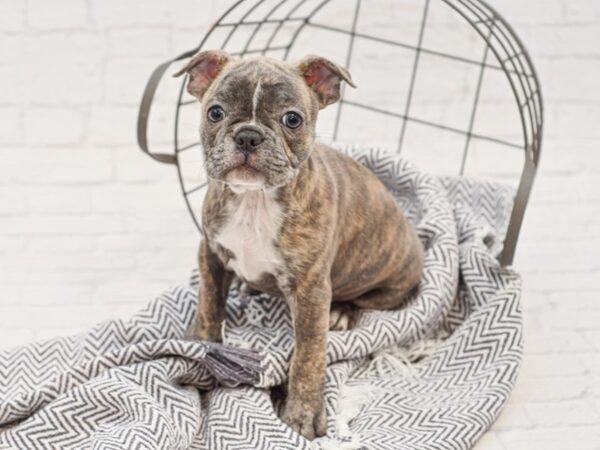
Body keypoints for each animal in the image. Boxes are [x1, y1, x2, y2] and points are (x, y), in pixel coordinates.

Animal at [176, 50, 424, 440]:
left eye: (292, 119)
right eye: (215, 112)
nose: (248, 136)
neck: (255, 201)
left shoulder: (310, 291)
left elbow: (308, 353)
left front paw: (303, 413)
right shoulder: (211, 254)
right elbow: (210, 302)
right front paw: (200, 344)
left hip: (389, 286)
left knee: (362, 301)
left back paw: (341, 313)